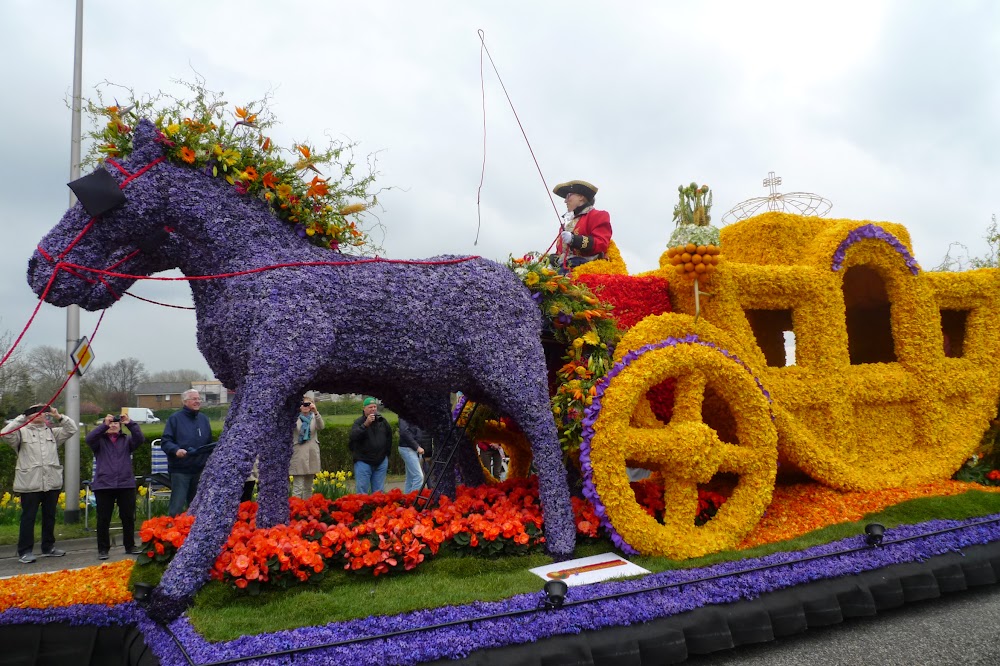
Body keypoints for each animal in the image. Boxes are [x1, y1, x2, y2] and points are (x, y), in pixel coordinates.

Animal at [27, 118, 576, 616]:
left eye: (103, 191)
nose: (39, 270)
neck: (252, 270)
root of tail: (525, 289)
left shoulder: (271, 374)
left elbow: (224, 466)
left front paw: (174, 587)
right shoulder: (268, 386)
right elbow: (267, 467)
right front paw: (268, 541)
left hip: (509, 374)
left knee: (543, 436)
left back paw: (560, 539)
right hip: (422, 391)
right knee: (456, 444)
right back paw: (454, 516)